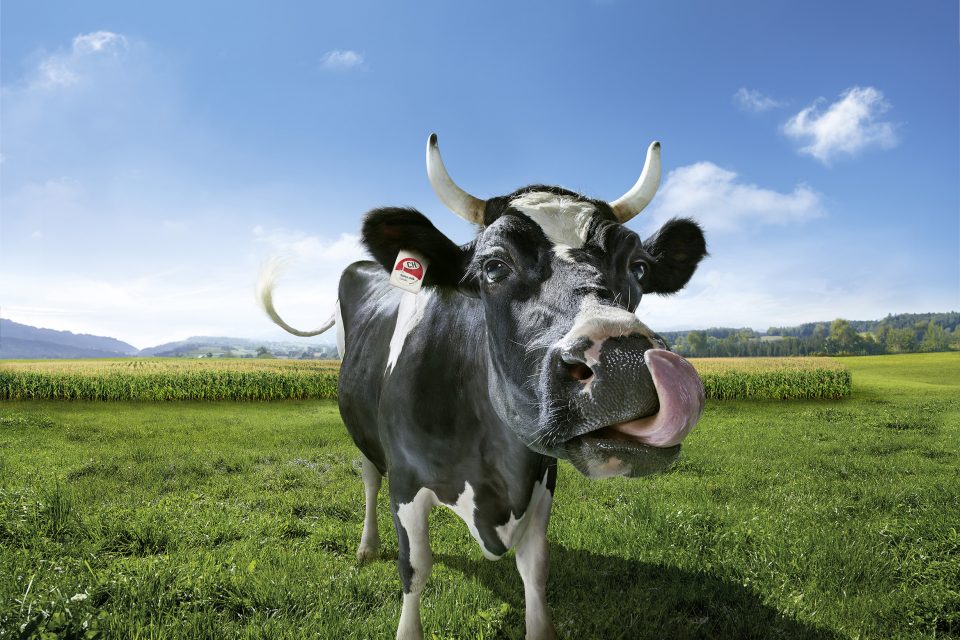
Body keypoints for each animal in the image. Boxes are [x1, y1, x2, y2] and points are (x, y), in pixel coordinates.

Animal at [259, 134, 707, 639]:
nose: (623, 364)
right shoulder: (407, 482)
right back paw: (367, 547)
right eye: (493, 266)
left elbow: (536, 568)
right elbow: (415, 567)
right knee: (370, 477)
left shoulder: (541, 477)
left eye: (638, 268)